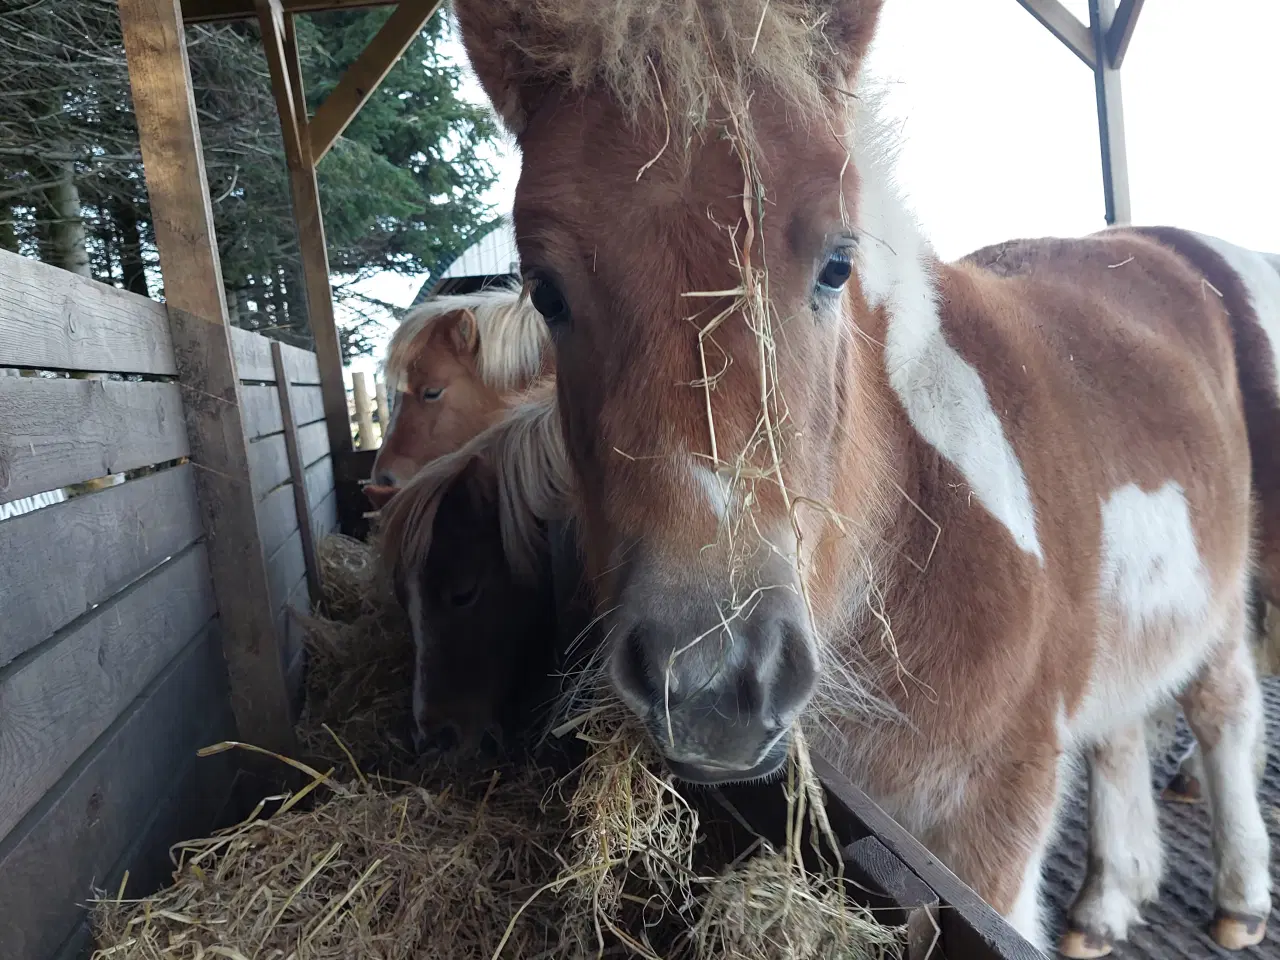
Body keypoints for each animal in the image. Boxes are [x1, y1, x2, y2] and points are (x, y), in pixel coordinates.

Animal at [389, 3, 1280, 957]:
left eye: (837, 263)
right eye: (548, 292)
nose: (715, 685)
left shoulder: (993, 831)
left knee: (1224, 705)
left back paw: (1237, 900)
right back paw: (1107, 904)